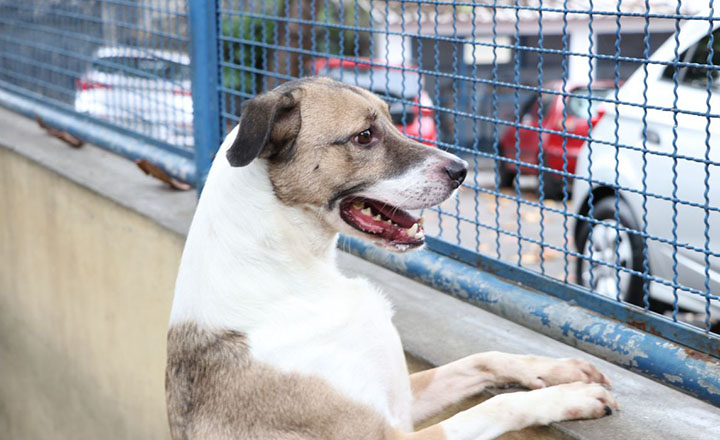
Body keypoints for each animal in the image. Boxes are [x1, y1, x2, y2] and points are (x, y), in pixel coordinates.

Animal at [166, 78, 616, 440]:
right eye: (365, 135)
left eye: (392, 120)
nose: (463, 170)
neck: (293, 272)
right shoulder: (392, 434)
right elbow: (493, 405)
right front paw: (570, 397)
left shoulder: (404, 398)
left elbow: (480, 359)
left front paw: (555, 371)